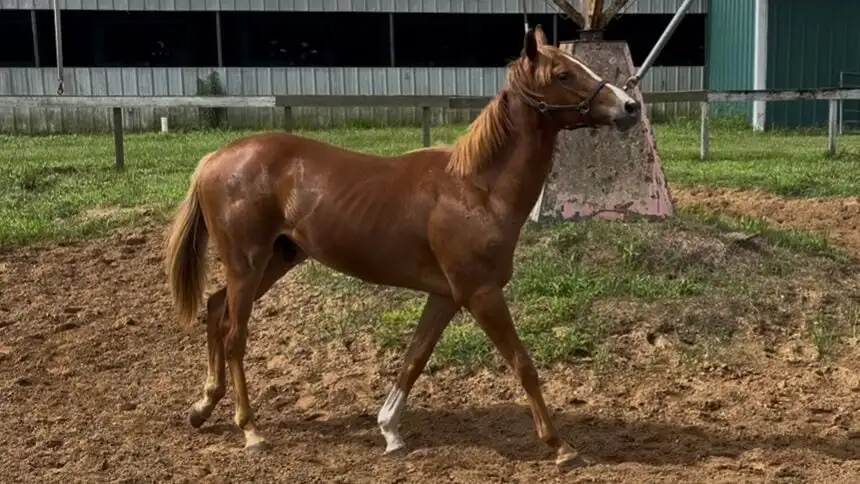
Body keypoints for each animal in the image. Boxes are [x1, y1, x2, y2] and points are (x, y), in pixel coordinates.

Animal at [164, 25, 641, 467]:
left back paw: (202, 408)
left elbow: (415, 357)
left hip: (275, 261)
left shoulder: (446, 295)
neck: (477, 189)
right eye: (563, 73)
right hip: (247, 263)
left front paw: (390, 430)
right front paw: (561, 446)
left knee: (215, 309)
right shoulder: (482, 293)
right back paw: (250, 431)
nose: (630, 106)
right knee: (234, 335)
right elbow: (523, 364)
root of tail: (214, 159)